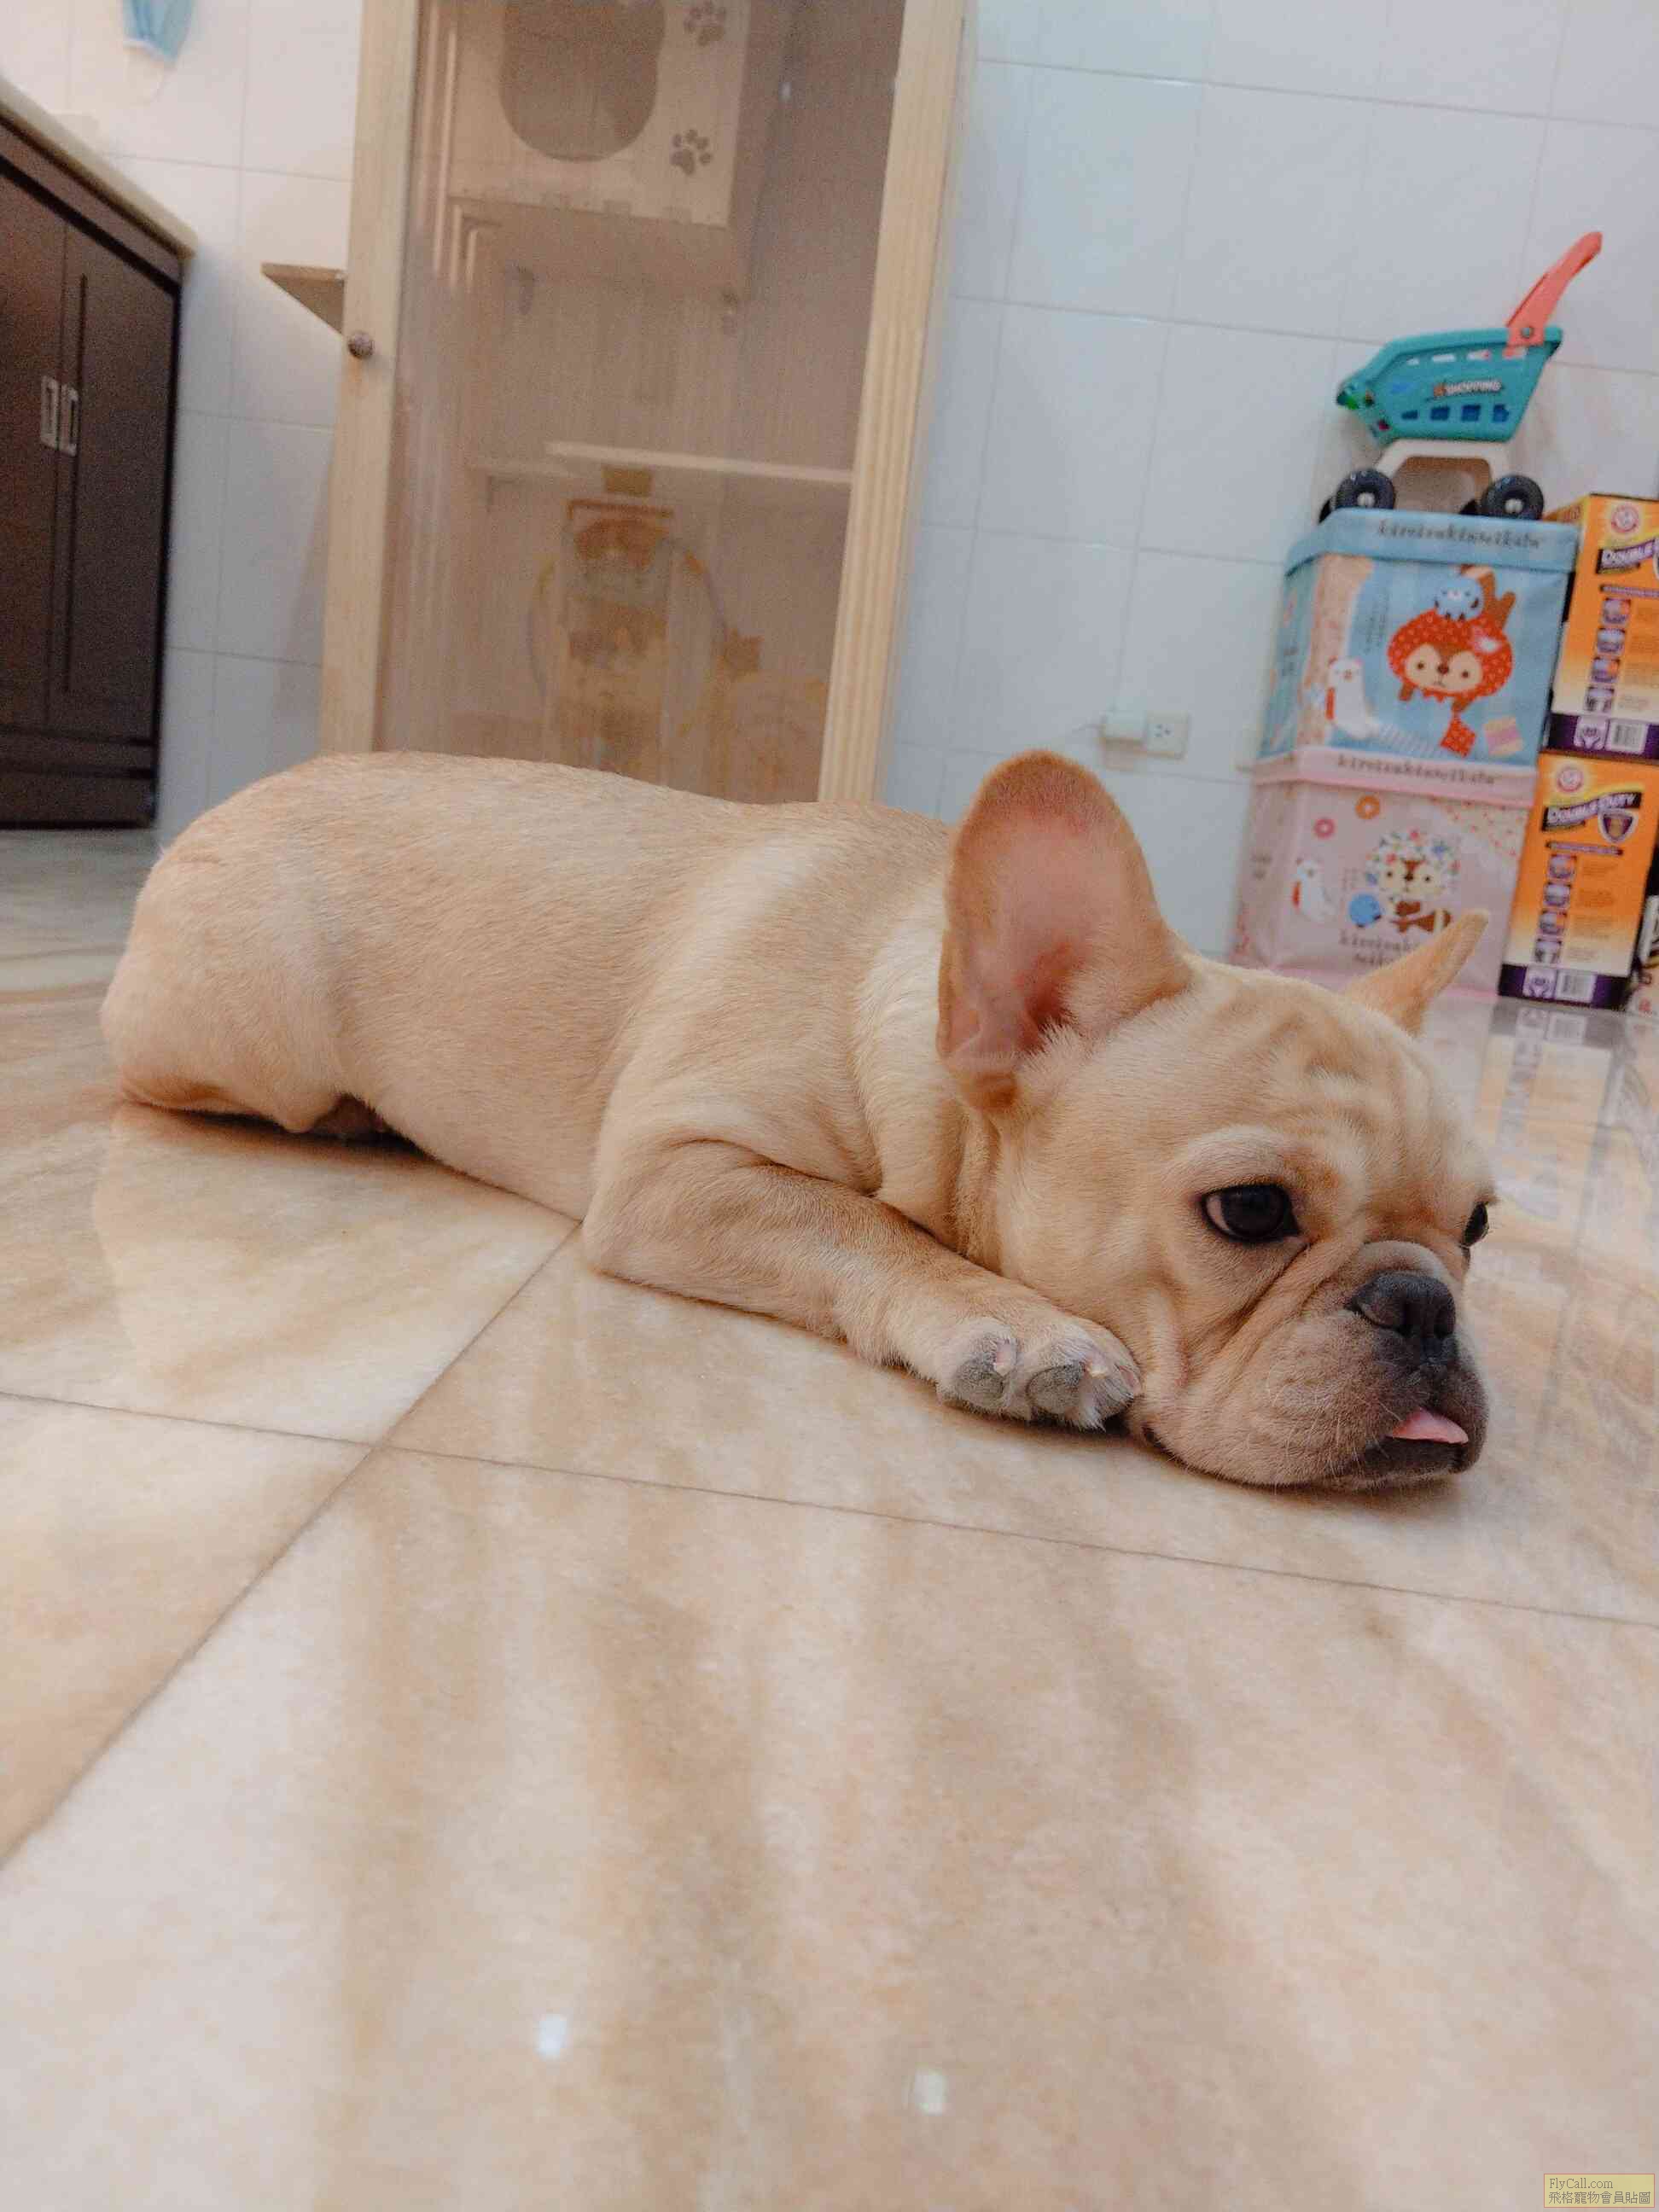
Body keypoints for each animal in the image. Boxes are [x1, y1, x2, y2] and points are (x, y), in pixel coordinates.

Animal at [102, 750, 1494, 1491]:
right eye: (1249, 1212)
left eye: (1479, 1226)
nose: (1425, 1306)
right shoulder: (675, 1170)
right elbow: (867, 1228)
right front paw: (1020, 1322)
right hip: (245, 1031)